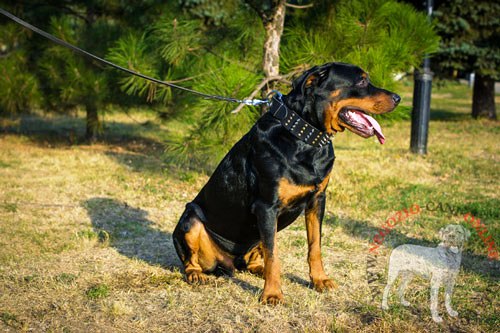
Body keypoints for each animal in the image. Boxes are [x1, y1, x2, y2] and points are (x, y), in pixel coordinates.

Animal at [174, 61, 400, 302]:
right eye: (361, 81)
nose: (397, 98)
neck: (306, 138)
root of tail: (229, 263)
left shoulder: (317, 200)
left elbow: (315, 246)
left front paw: (319, 280)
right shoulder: (266, 207)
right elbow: (274, 255)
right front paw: (272, 293)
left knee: (255, 258)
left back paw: (259, 269)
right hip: (190, 219)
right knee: (190, 259)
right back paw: (196, 274)